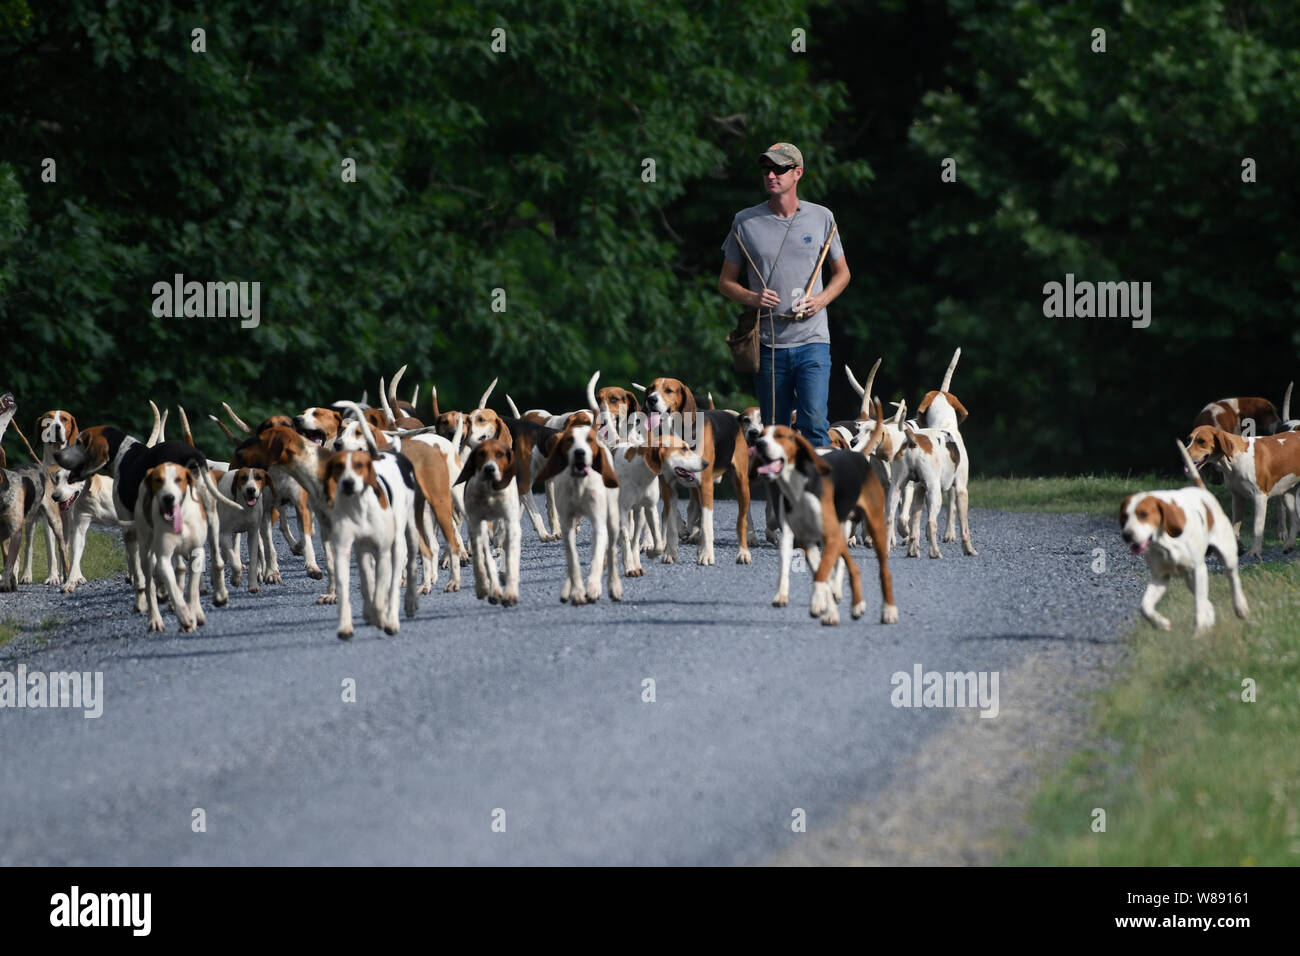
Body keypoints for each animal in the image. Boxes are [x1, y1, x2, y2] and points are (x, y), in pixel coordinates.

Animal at [1118, 442, 1248, 634]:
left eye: (1143, 514)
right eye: (1125, 516)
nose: (1127, 535)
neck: (1165, 543)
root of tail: (1202, 492)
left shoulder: (1199, 570)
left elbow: (1199, 604)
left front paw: (1199, 631)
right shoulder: (1160, 577)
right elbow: (1145, 607)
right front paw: (1161, 623)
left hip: (1226, 557)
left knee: (1233, 579)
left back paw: (1240, 607)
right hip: (1189, 578)